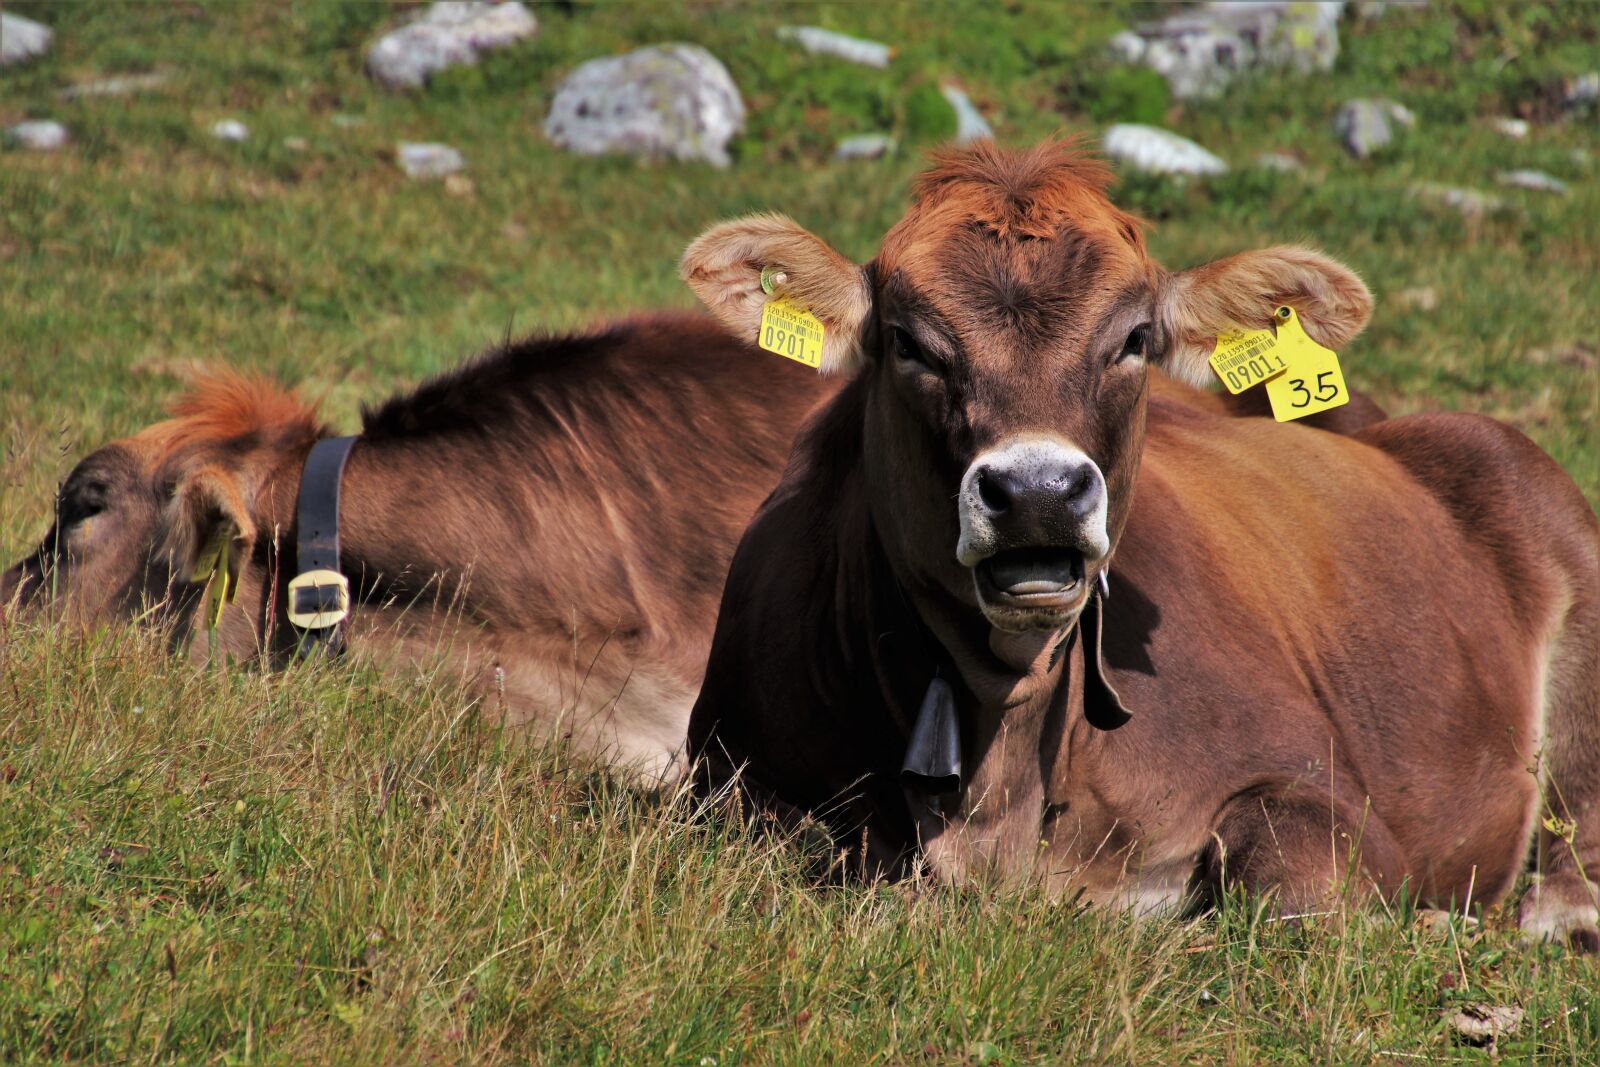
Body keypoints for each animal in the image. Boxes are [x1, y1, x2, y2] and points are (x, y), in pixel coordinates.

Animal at [680, 141, 1600, 948]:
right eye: (909, 342)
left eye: (1132, 340)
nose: (1039, 492)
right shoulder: (724, 775)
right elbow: (805, 842)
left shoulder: (1323, 790)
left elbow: (1293, 890)